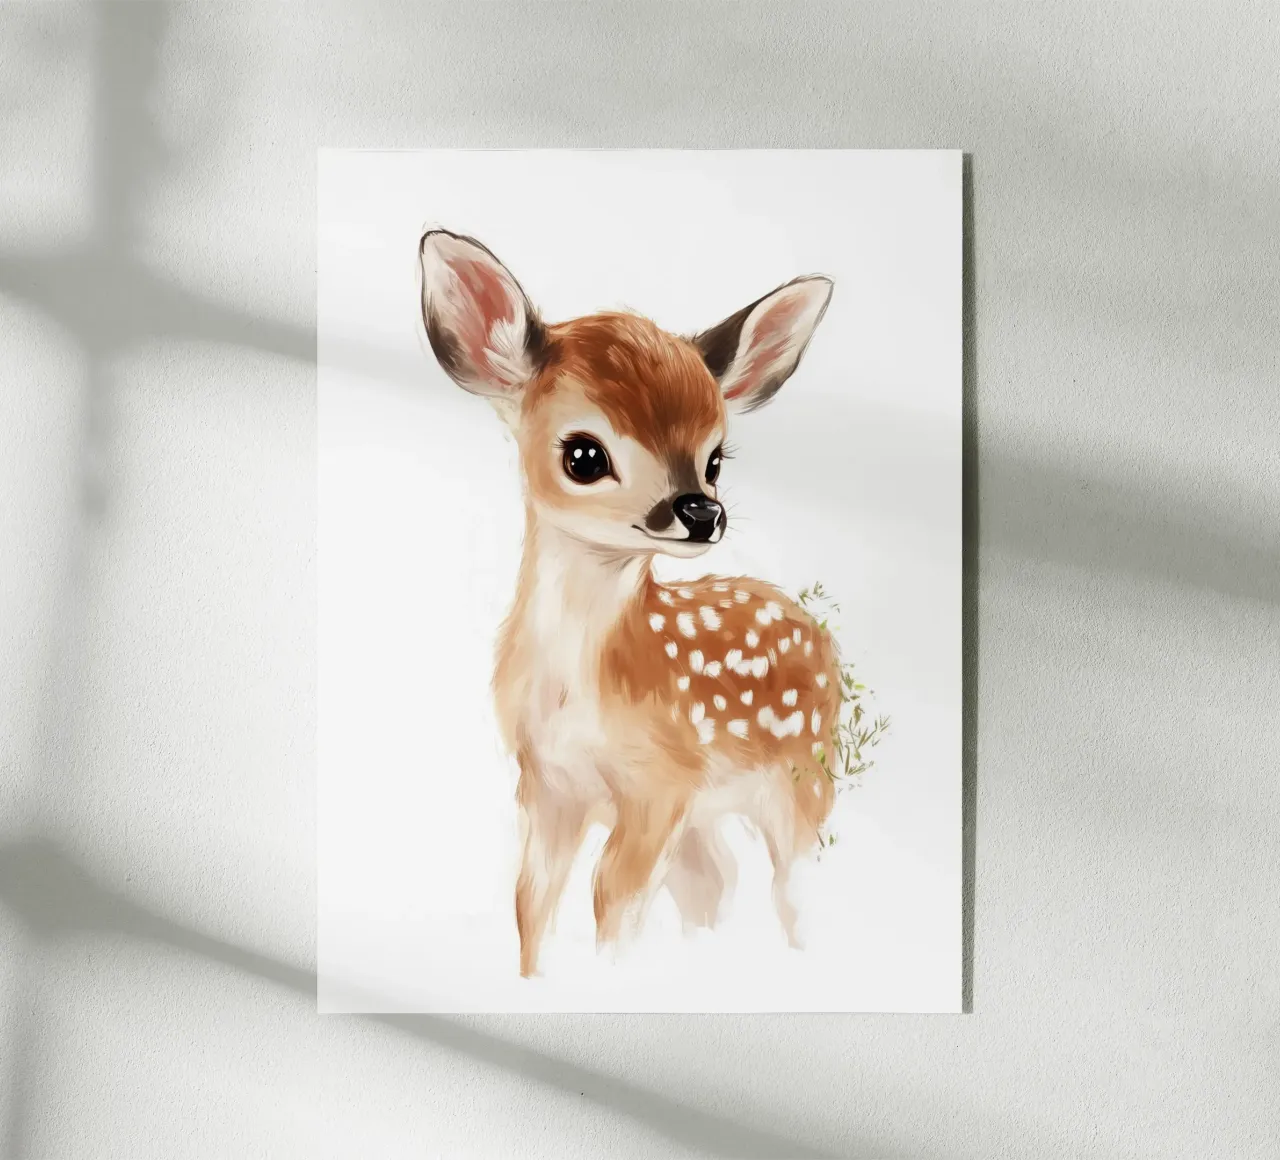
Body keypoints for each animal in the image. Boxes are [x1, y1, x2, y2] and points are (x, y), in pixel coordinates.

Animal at [418, 228, 842, 977]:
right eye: (584, 455)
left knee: (793, 889)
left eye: (715, 459)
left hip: (803, 777)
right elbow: (531, 903)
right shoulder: (547, 784)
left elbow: (610, 903)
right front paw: (535, 979)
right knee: (716, 881)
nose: (701, 511)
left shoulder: (659, 784)